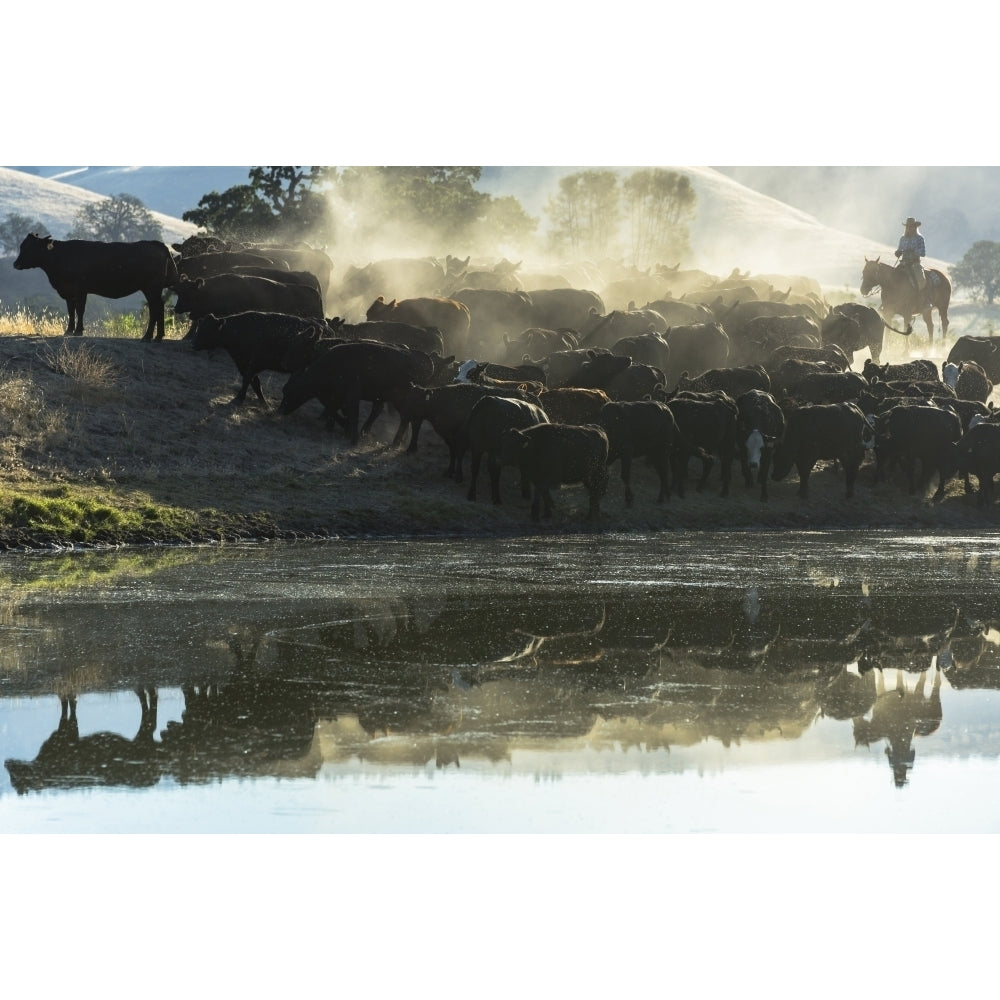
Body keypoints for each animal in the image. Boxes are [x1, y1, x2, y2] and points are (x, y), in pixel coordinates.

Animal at [12, 233, 181, 340]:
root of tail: (156, 244)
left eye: (31, 248)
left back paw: (147, 336)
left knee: (155, 308)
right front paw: (68, 331)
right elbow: (71, 311)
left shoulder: (81, 290)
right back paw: (158, 336)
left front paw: (78, 331)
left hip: (151, 287)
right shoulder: (68, 292)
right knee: (159, 306)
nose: (15, 264)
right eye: (21, 246)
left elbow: (80, 310)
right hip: (153, 289)